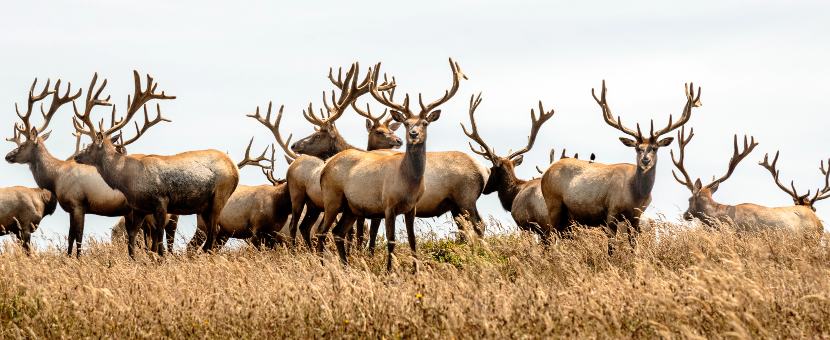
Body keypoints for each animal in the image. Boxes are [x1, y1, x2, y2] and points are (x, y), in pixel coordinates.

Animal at [72, 72, 239, 258]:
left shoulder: (161, 200)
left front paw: (160, 258)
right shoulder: (139, 207)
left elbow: (158, 236)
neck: (127, 180)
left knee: (213, 231)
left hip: (220, 194)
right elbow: (133, 235)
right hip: (204, 206)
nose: (76, 156)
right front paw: (134, 259)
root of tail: (235, 168)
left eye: (90, 146)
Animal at [318, 57, 468, 270]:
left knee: (337, 232)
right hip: (332, 197)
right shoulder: (388, 204)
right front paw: (390, 271)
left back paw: (346, 266)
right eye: (406, 123)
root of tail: (324, 168)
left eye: (425, 123)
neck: (408, 183)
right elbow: (391, 240)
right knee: (322, 232)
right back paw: (323, 266)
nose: (413, 134)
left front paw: (416, 271)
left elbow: (413, 240)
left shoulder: (411, 207)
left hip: (351, 207)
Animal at [540, 80, 704, 255]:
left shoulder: (636, 216)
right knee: (549, 237)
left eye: (654, 148)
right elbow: (611, 247)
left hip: (569, 217)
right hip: (553, 203)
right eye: (637, 148)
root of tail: (546, 172)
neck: (636, 195)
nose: (645, 160)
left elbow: (633, 245)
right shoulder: (611, 211)